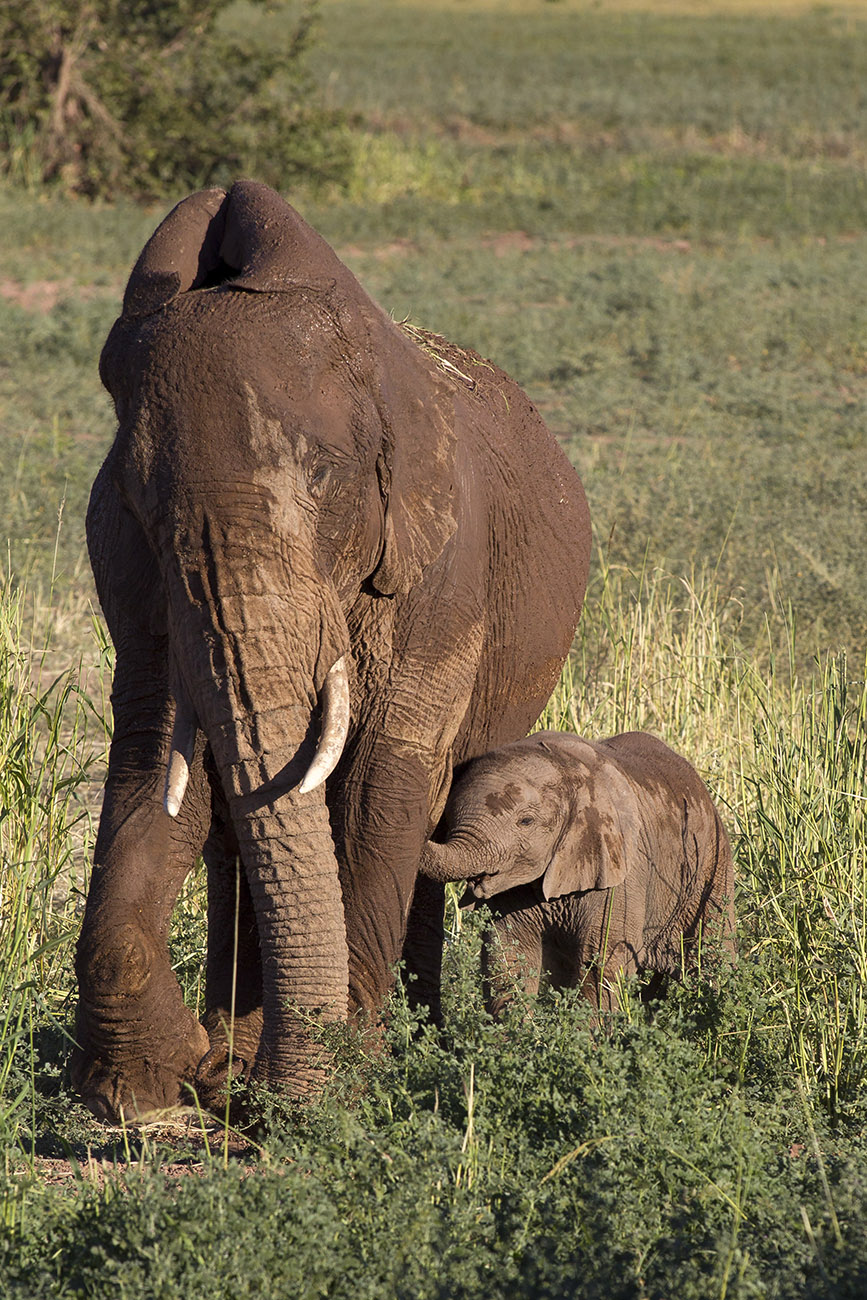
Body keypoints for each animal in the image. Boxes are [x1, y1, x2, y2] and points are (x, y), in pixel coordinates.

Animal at [71, 180, 591, 1121]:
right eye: (137, 499)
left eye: (323, 475)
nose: (252, 1098)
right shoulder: (133, 578)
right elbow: (159, 767)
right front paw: (151, 1088)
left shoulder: (443, 567)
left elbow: (380, 781)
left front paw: (341, 1087)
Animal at [420, 731, 735, 1013]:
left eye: (526, 821)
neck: (567, 768)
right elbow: (509, 953)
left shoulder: (622, 871)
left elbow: (601, 959)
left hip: (711, 864)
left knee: (713, 954)